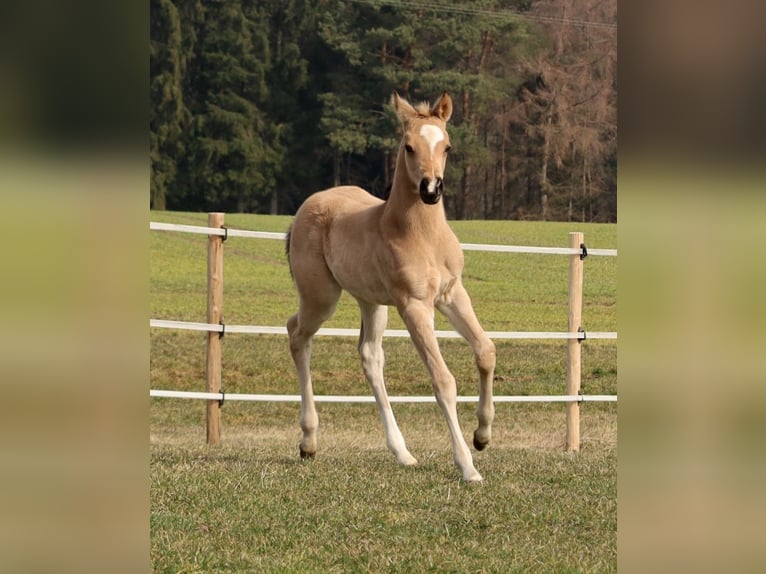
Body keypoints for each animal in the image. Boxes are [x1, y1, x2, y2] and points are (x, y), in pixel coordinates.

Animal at [285, 92, 496, 482]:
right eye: (409, 147)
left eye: (447, 146)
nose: (431, 190)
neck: (422, 234)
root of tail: (308, 205)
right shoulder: (414, 306)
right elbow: (443, 381)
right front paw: (467, 465)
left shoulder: (451, 294)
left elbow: (486, 351)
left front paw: (482, 437)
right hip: (321, 298)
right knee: (296, 334)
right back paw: (308, 441)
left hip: (371, 302)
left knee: (370, 355)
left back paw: (403, 452)